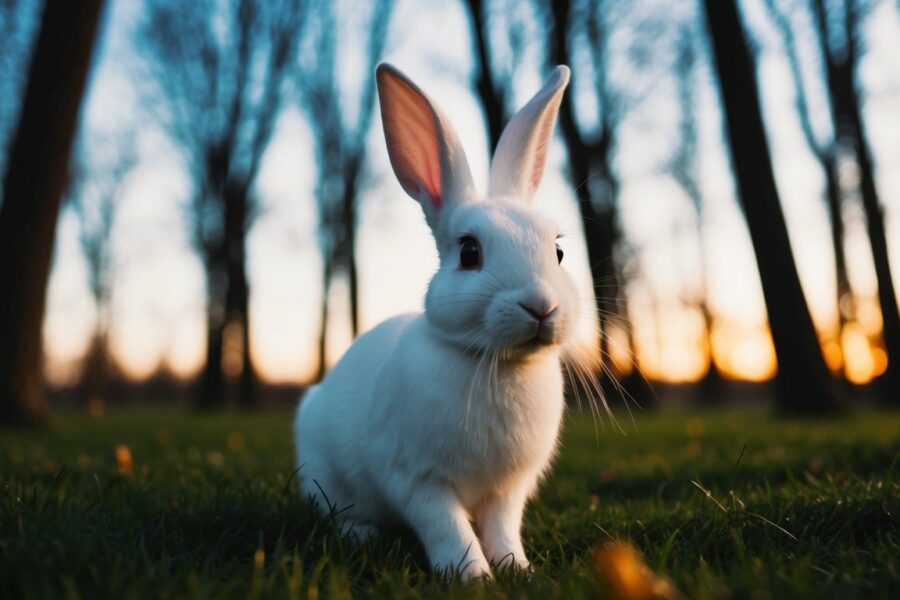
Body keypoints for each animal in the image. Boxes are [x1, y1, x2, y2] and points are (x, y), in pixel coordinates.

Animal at [296, 63, 576, 580]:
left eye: (559, 252)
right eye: (469, 252)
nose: (540, 306)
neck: (495, 361)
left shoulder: (507, 491)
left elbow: (503, 527)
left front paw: (516, 568)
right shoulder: (417, 479)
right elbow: (446, 526)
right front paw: (472, 576)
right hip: (326, 476)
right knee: (338, 513)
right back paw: (362, 536)